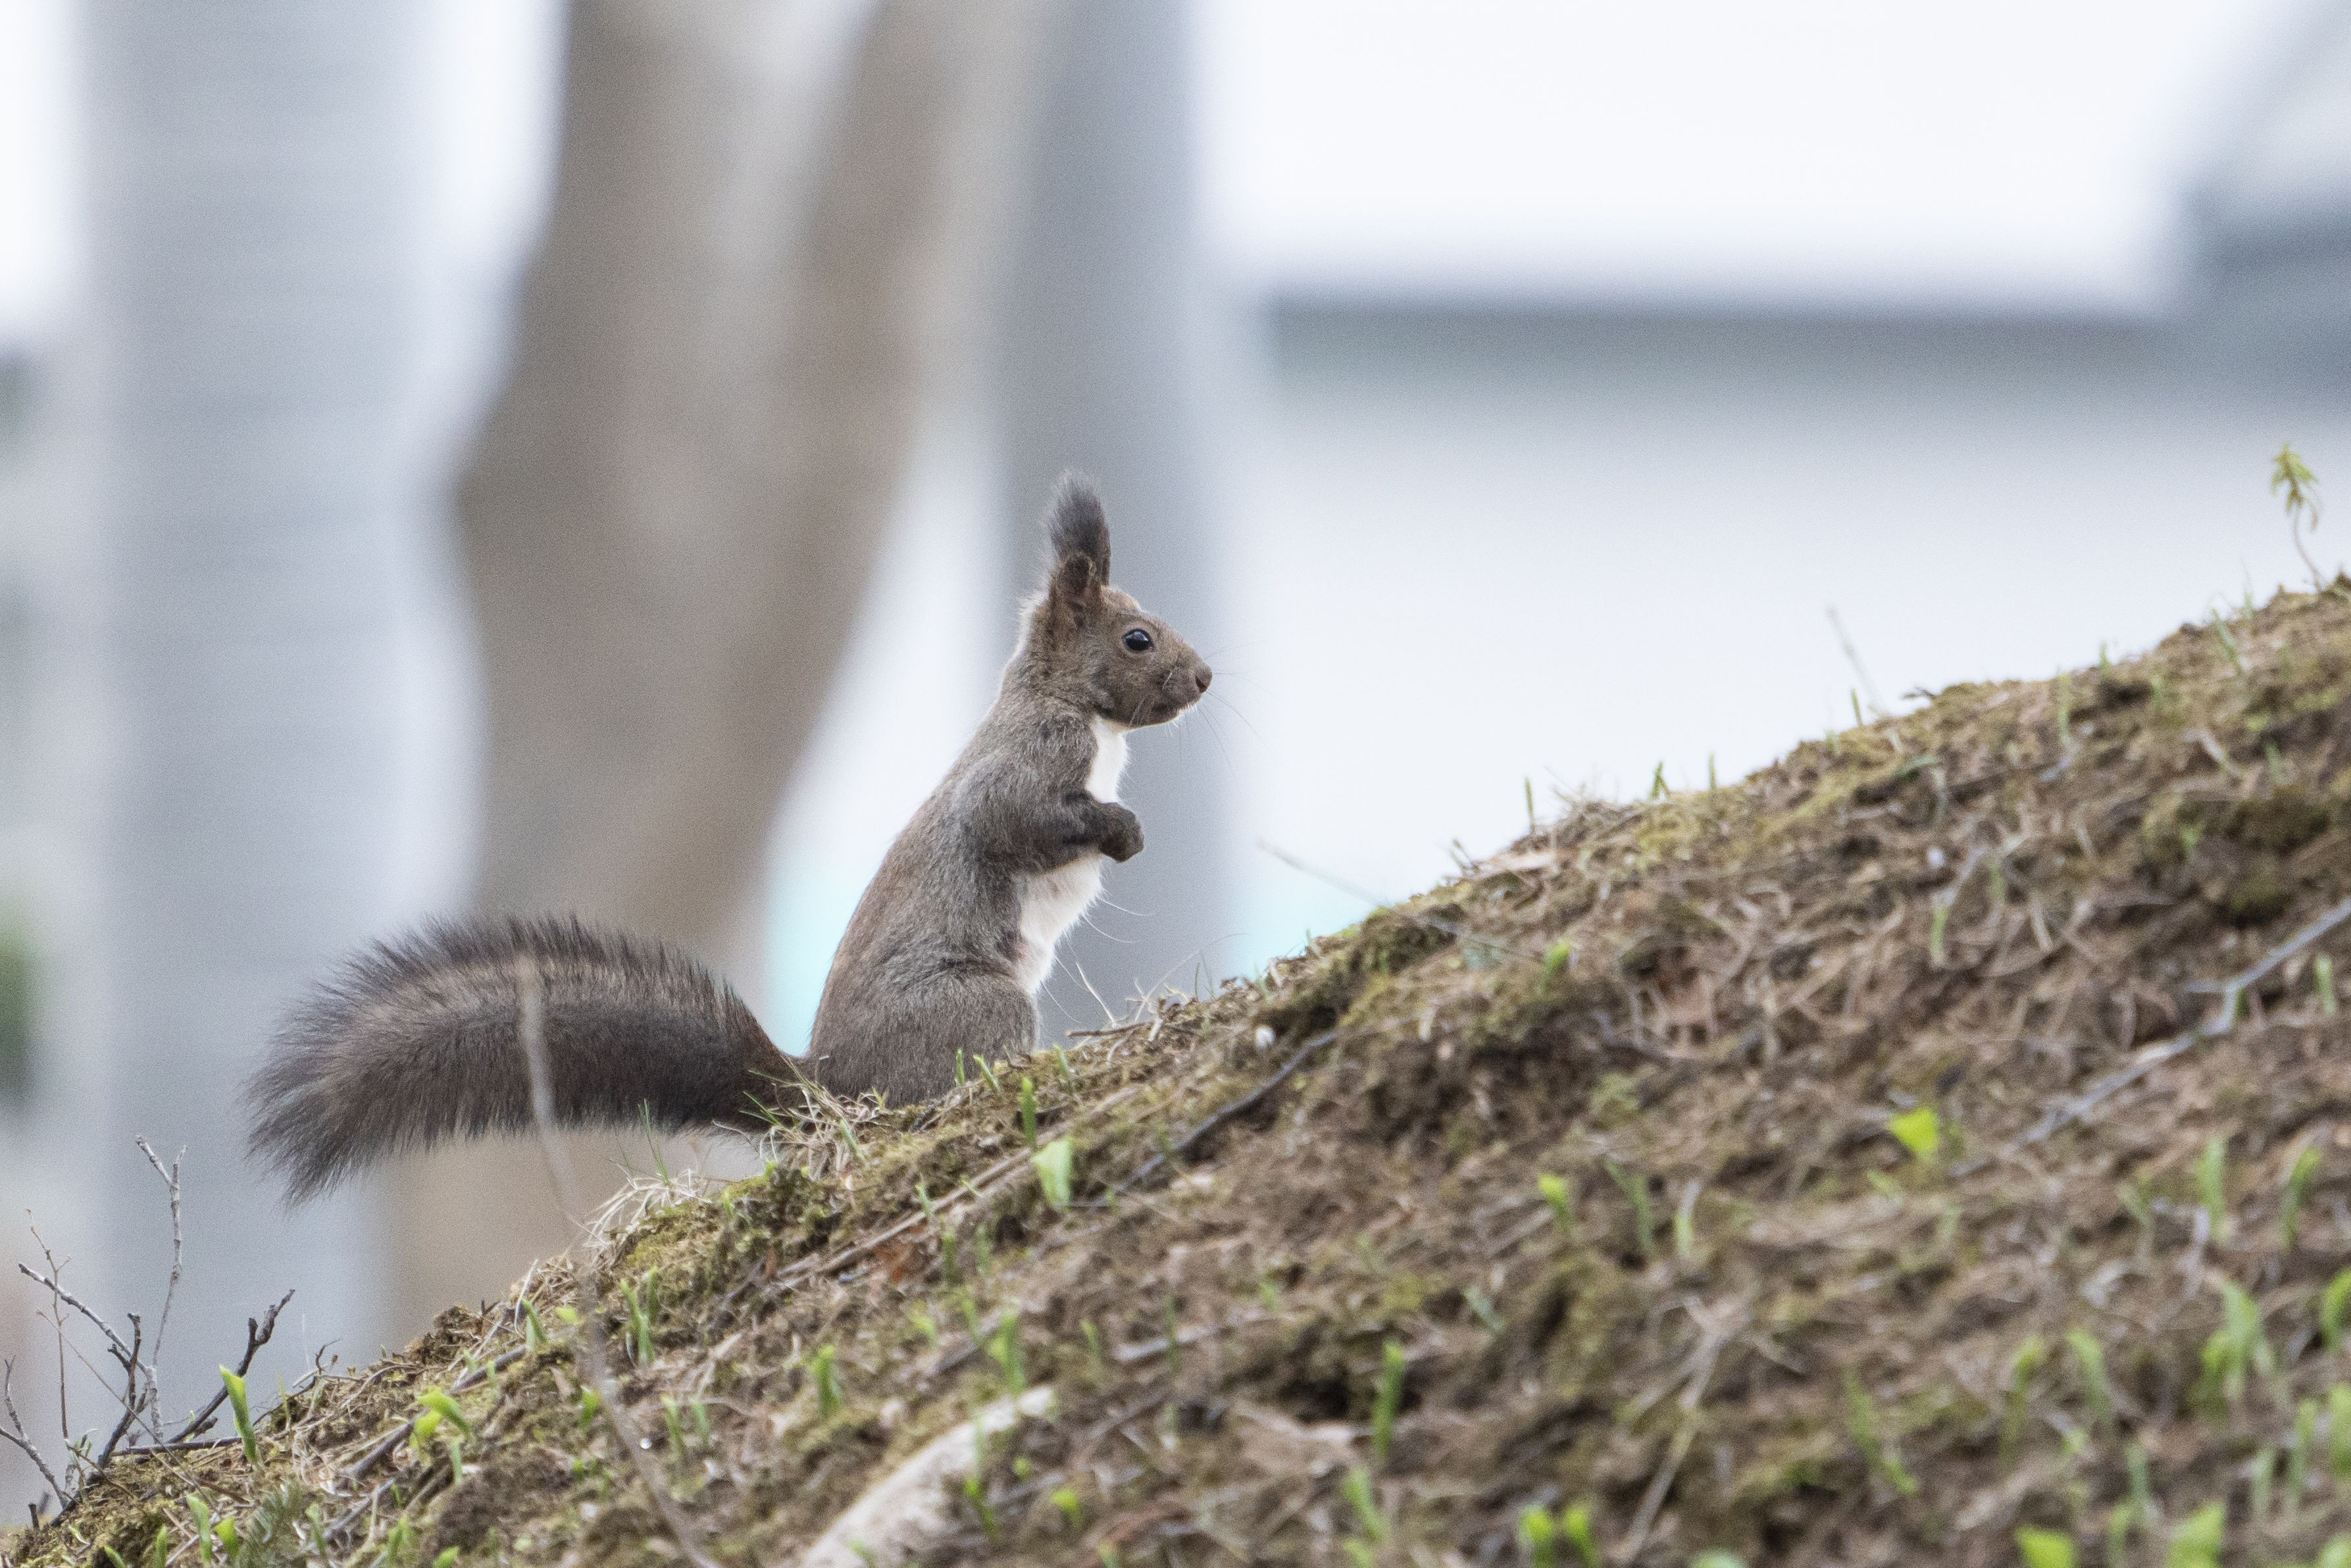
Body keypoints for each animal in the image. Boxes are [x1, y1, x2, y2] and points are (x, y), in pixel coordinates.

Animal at [248, 476, 1211, 1199]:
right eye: (1138, 637)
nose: (1204, 677)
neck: (1070, 705)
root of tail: (828, 1090)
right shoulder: (1025, 766)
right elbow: (1021, 821)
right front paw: (1119, 828)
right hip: (979, 1007)